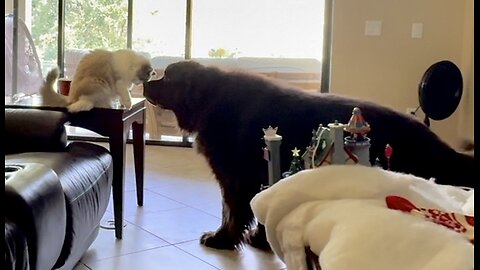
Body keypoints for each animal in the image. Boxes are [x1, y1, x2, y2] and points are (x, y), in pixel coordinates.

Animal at [142, 60, 472, 251]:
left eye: (166, 77)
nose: (145, 81)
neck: (212, 100)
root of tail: (439, 145)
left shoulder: (235, 178)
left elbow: (232, 211)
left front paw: (222, 239)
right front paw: (260, 240)